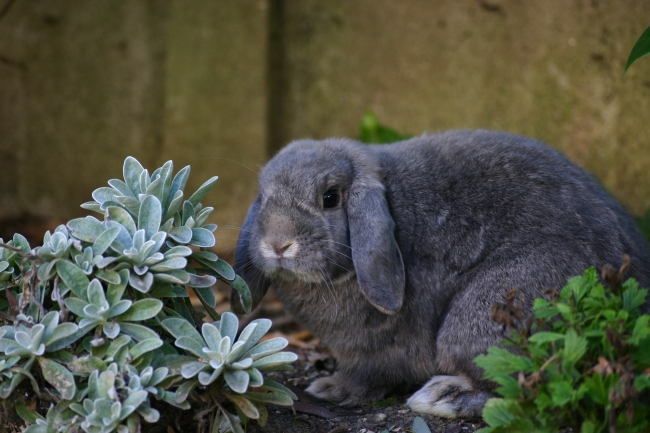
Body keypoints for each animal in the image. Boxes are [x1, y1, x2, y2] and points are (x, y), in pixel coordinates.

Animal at [230, 129, 648, 418]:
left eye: (330, 197)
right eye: (263, 197)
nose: (278, 244)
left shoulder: (379, 351)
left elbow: (369, 374)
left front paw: (332, 389)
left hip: (486, 313)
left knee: (522, 386)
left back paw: (443, 397)